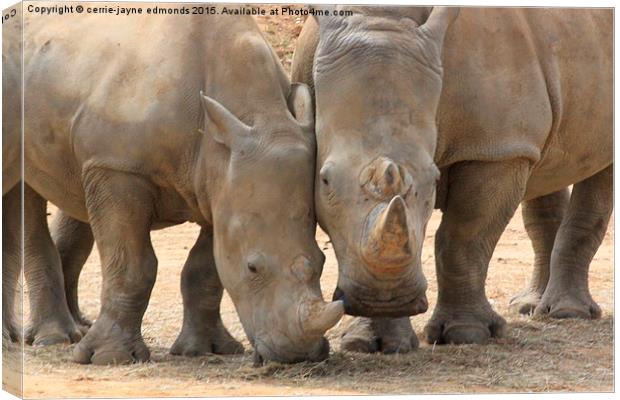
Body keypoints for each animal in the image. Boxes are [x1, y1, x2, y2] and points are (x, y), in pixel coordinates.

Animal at [4, 8, 344, 366]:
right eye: (252, 267)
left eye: (322, 261)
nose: (299, 355)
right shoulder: (119, 167)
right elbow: (132, 265)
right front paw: (110, 357)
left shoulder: (219, 185)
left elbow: (205, 268)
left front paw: (205, 349)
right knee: (28, 195)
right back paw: (52, 339)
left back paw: (76, 328)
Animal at [294, 5, 612, 350]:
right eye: (325, 181)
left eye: (433, 181)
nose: (384, 301)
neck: (382, 20)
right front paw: (373, 342)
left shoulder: (495, 149)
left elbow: (463, 238)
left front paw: (466, 334)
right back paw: (529, 306)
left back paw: (567, 313)